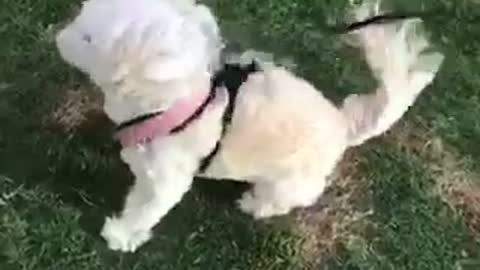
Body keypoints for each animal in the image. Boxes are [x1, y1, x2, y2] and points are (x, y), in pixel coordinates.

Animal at [56, 0, 442, 253]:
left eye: (88, 38)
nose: (59, 35)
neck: (174, 103)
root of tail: (343, 125)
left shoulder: (166, 182)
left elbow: (144, 210)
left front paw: (121, 236)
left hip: (290, 183)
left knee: (279, 200)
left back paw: (254, 204)